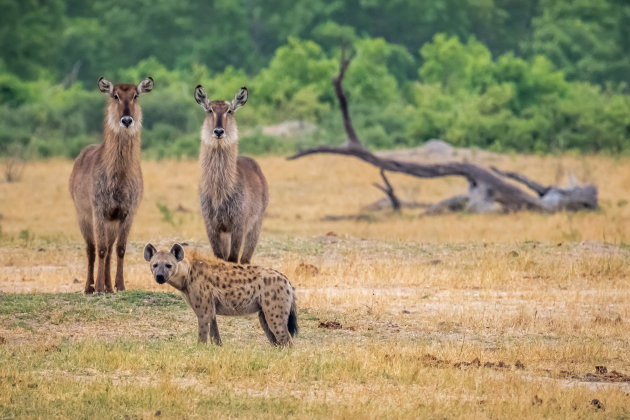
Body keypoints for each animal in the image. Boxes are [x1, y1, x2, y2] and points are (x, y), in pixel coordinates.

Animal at [70, 76, 154, 292]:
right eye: (115, 95)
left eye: (135, 95)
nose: (126, 120)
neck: (119, 178)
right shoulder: (99, 210)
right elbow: (100, 249)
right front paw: (98, 287)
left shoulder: (126, 212)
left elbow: (119, 249)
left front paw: (119, 285)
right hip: (83, 216)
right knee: (91, 249)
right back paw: (89, 287)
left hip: (111, 222)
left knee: (109, 249)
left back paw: (108, 286)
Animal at [195, 85, 270, 262]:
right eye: (210, 110)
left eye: (229, 110)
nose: (218, 131)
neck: (220, 192)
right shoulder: (212, 225)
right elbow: (220, 257)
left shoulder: (238, 225)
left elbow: (233, 258)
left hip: (256, 224)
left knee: (245, 259)